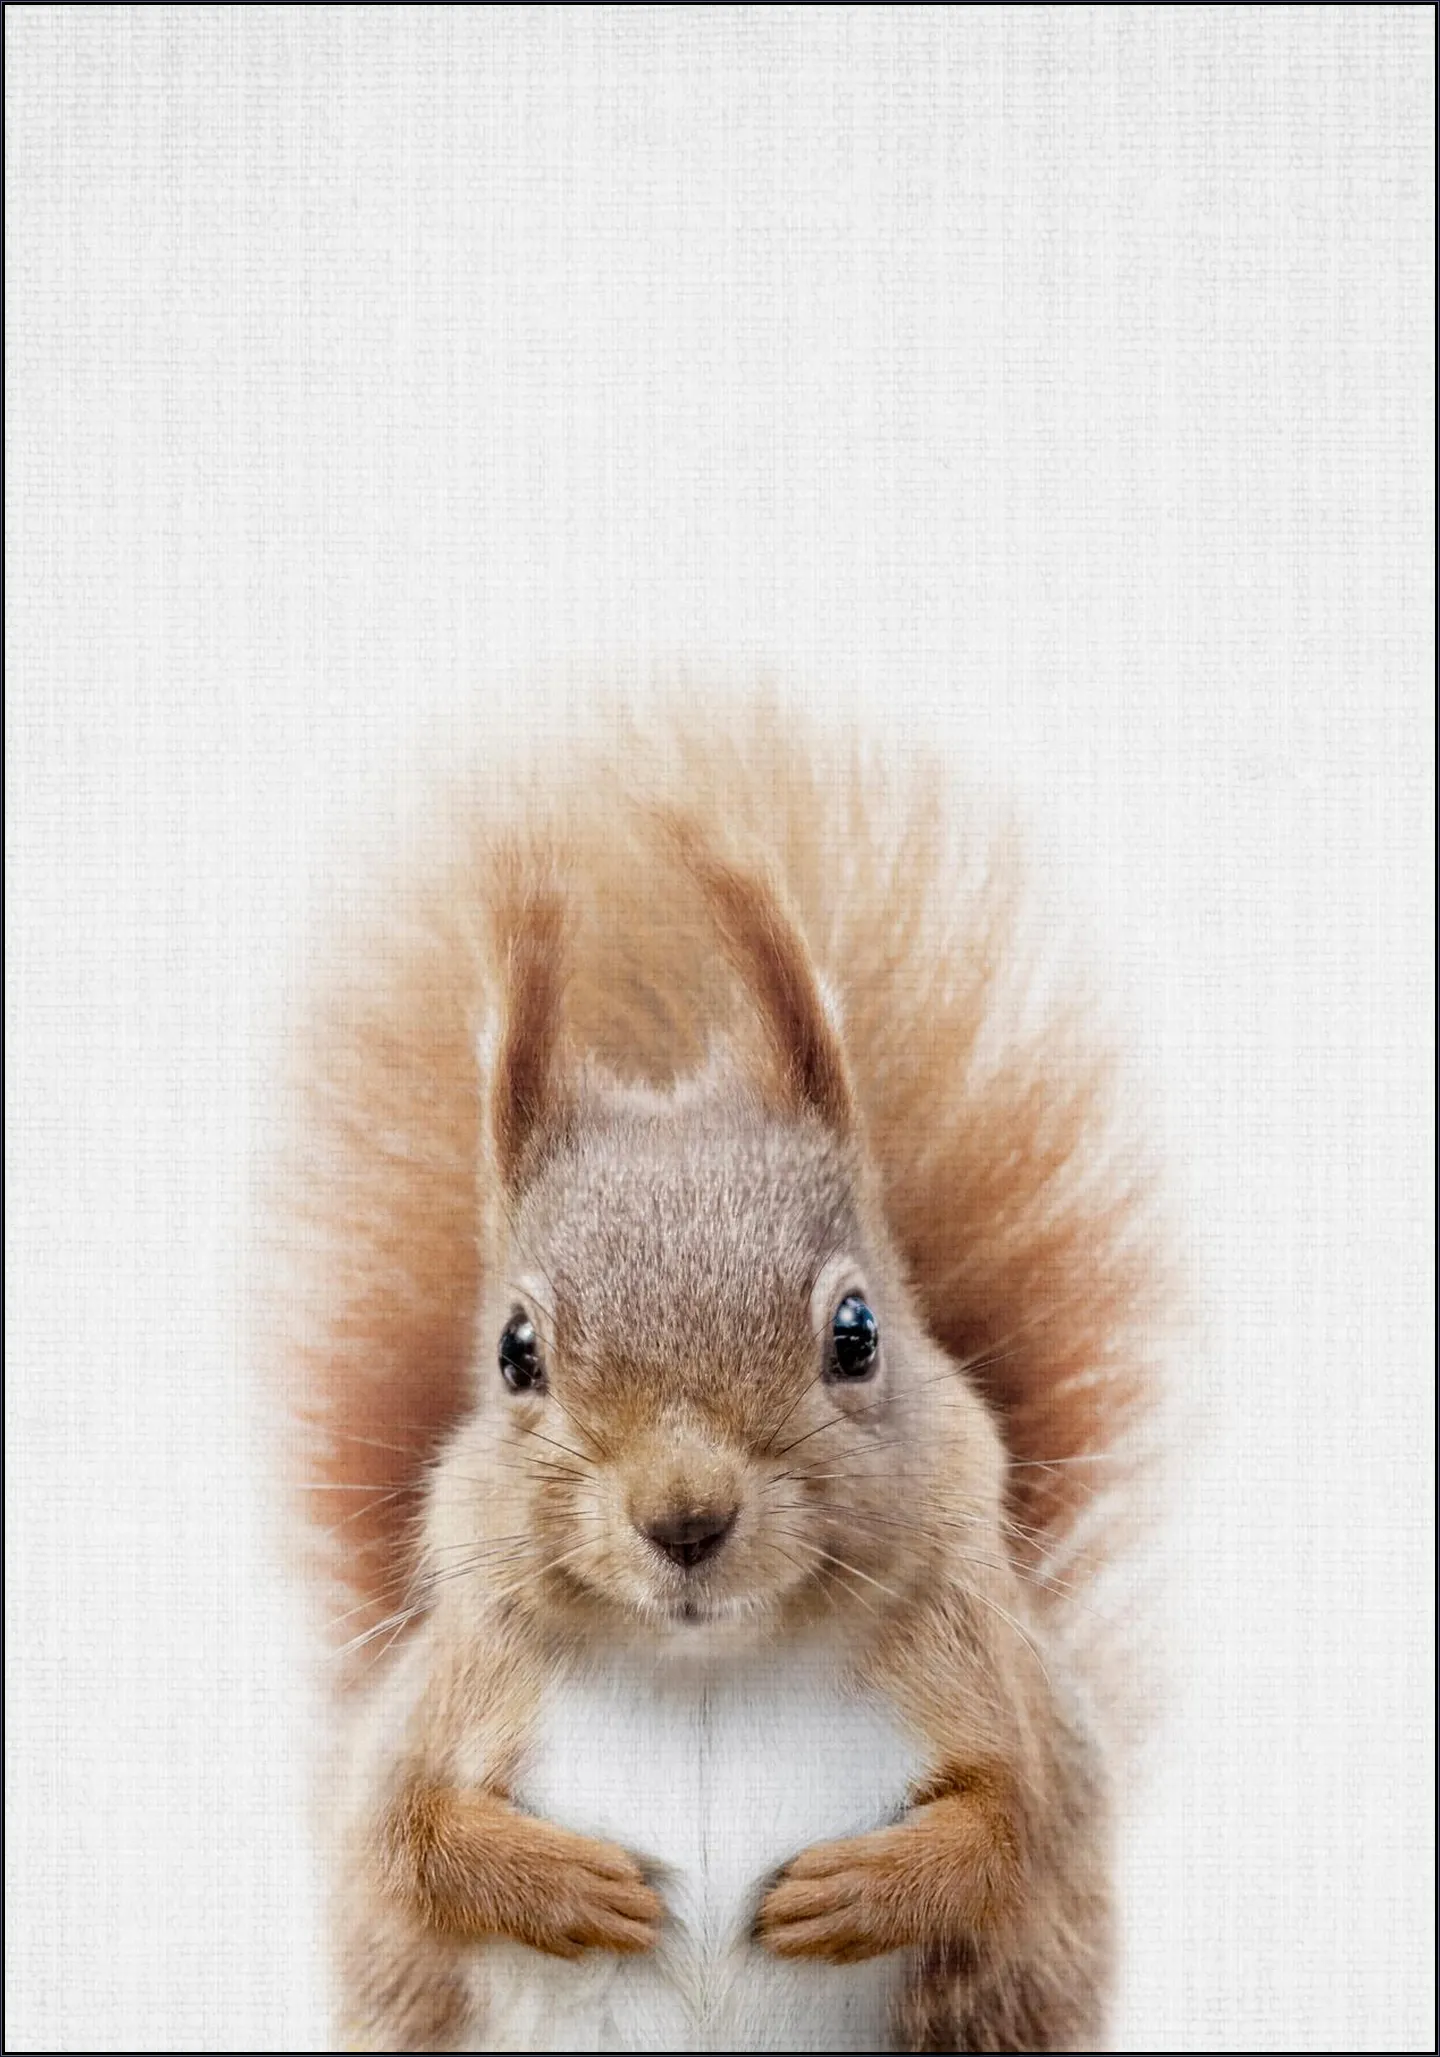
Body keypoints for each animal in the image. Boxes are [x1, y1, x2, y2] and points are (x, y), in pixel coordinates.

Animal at [264, 695, 1169, 2054]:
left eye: (857, 1331)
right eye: (515, 1351)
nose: (685, 1517)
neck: (706, 1668)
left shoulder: (1010, 1697)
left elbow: (1022, 1823)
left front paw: (868, 1883)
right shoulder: (442, 1706)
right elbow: (403, 1836)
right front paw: (565, 1882)